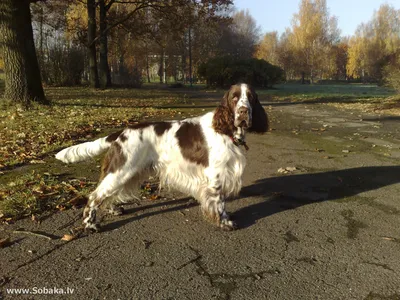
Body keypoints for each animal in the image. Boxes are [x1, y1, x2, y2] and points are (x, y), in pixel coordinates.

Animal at [55, 84, 268, 232]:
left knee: (108, 194)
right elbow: (220, 203)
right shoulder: (216, 175)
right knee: (94, 196)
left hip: (128, 172)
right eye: (234, 98)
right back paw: (90, 225)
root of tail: (121, 132)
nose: (243, 111)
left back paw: (113, 210)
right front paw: (225, 223)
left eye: (250, 98)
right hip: (122, 170)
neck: (226, 129)